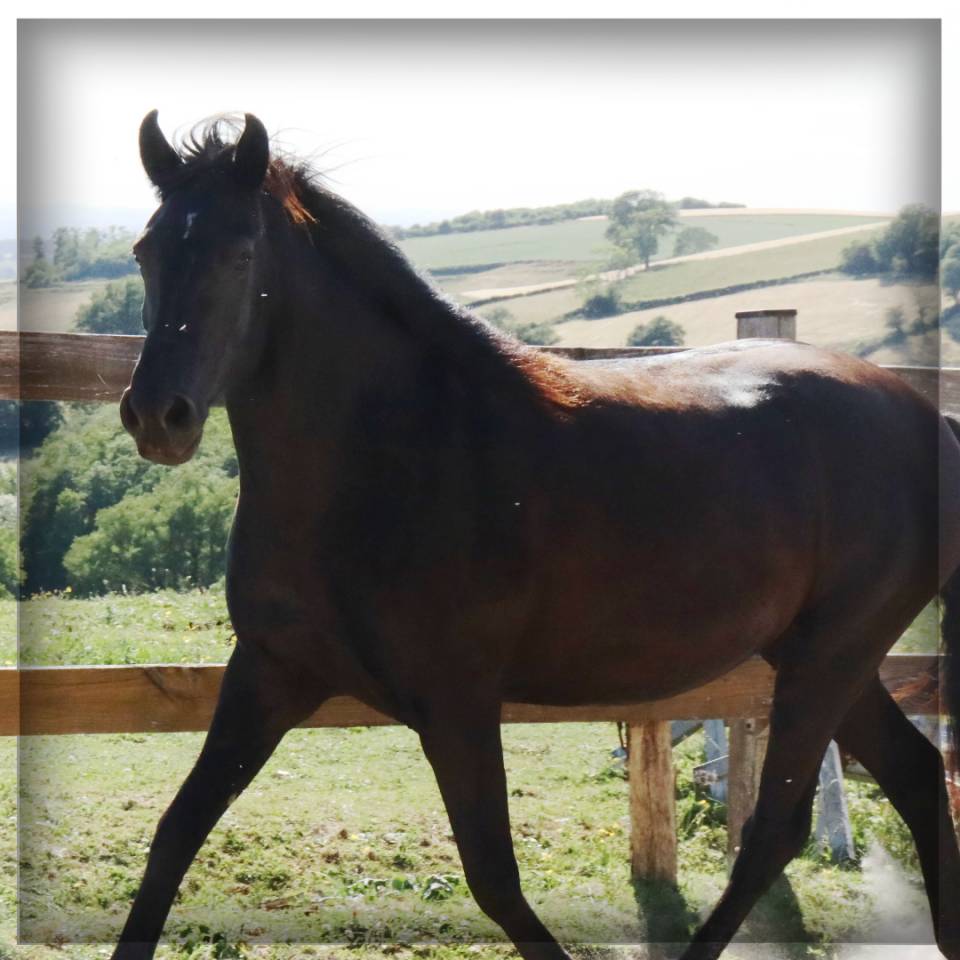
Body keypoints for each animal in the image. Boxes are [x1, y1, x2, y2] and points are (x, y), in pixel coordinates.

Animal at [113, 110, 960, 960]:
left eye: (240, 251)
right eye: (147, 249)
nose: (158, 415)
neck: (384, 456)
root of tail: (931, 422)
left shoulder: (455, 701)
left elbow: (494, 879)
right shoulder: (269, 673)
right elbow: (175, 833)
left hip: (830, 655)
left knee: (778, 830)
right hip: (821, 657)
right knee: (916, 777)